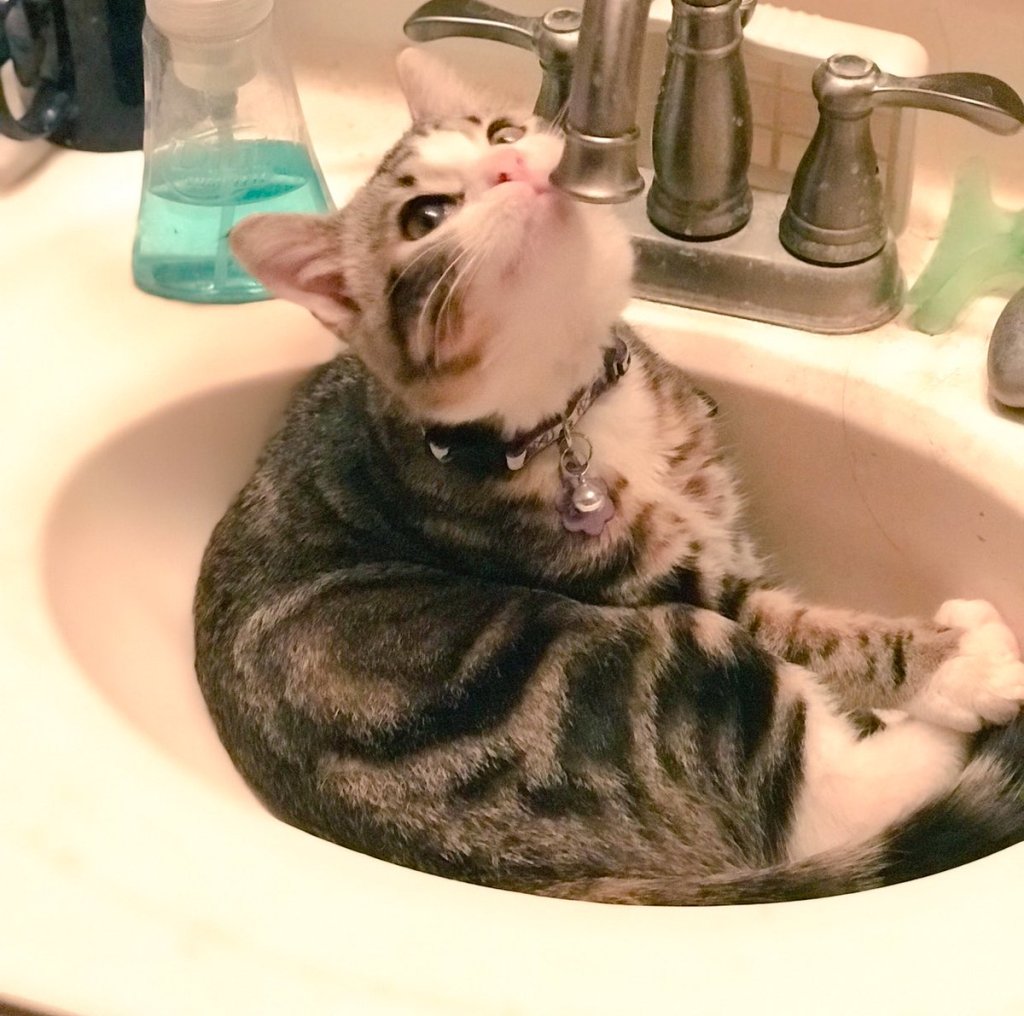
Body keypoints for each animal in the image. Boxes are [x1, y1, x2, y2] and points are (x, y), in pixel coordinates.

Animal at [193, 49, 1024, 905]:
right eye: (426, 215)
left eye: (500, 131)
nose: (511, 165)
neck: (576, 414)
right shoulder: (659, 582)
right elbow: (803, 627)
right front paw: (954, 662)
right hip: (627, 666)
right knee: (835, 804)